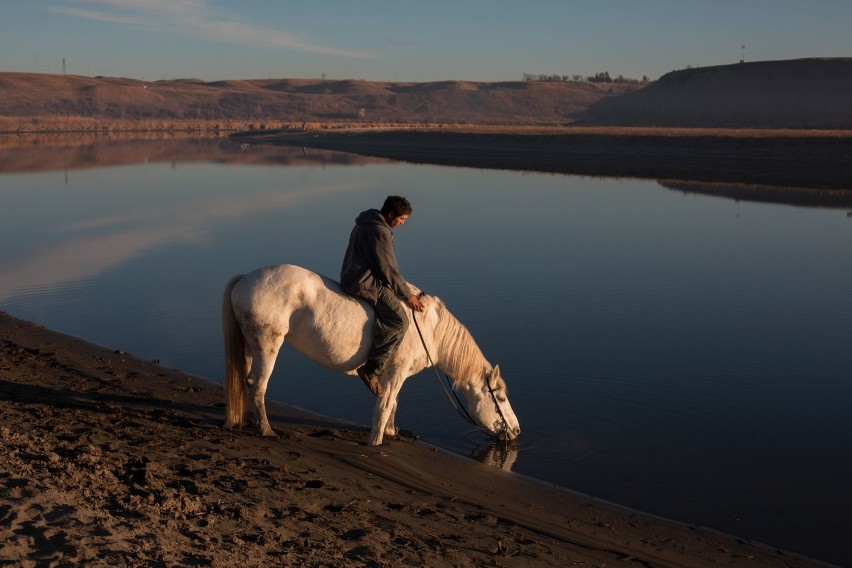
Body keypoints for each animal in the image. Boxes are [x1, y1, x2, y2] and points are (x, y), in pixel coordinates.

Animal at [221, 264, 520, 446]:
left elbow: (393, 403)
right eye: (501, 397)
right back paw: (265, 429)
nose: (517, 431)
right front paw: (375, 442)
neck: (430, 329)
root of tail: (245, 278)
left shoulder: (395, 375)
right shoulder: (397, 372)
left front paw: (391, 432)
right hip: (267, 345)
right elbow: (385, 405)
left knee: (247, 382)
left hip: (249, 347)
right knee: (259, 386)